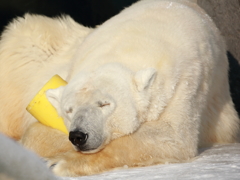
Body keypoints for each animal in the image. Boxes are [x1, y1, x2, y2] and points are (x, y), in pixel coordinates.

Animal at [0, 0, 240, 177]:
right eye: (69, 109)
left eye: (105, 104)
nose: (79, 136)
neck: (132, 44)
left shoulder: (183, 84)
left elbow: (169, 137)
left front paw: (58, 163)